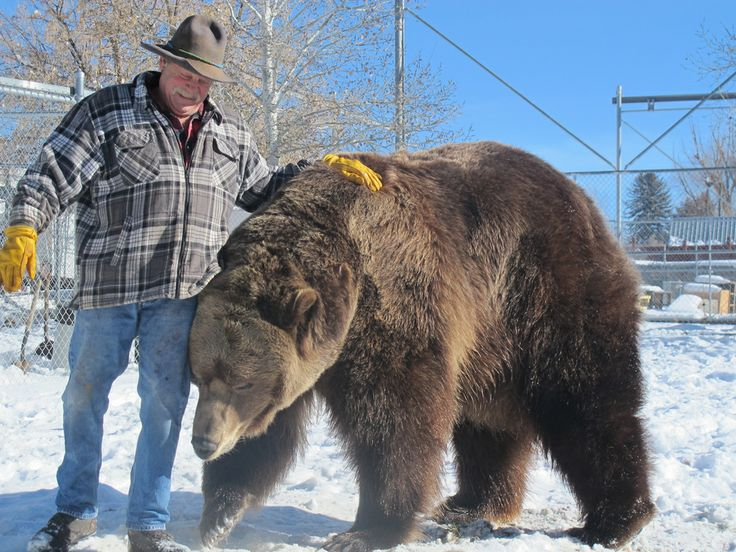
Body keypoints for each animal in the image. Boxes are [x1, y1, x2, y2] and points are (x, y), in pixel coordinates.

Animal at [187, 142, 652, 552]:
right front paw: (219, 515)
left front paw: (367, 530)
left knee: (585, 399)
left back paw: (616, 521)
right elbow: (266, 432)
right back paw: (473, 503)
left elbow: (394, 420)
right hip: (488, 339)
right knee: (487, 422)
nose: (203, 442)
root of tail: (582, 199)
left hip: (545, 293)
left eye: (243, 382)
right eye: (200, 377)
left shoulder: (393, 308)